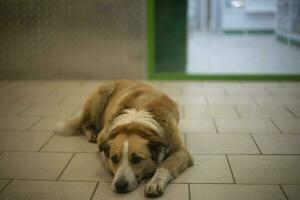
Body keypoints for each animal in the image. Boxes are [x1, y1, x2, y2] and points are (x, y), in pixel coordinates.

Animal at [55, 79, 193, 197]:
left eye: (137, 159)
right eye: (114, 159)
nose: (120, 185)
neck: (135, 124)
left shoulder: (182, 152)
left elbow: (165, 165)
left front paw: (155, 182)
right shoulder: (103, 138)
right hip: (102, 94)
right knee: (84, 123)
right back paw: (91, 133)